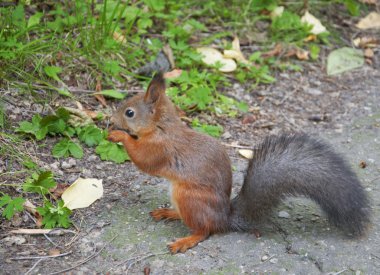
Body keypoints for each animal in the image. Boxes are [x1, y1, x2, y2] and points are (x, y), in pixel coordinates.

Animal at [107, 73, 372, 254]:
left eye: (129, 113)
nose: (110, 119)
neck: (161, 127)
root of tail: (225, 218)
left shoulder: (160, 149)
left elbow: (143, 159)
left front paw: (117, 136)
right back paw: (168, 212)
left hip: (189, 197)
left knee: (205, 230)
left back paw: (186, 240)